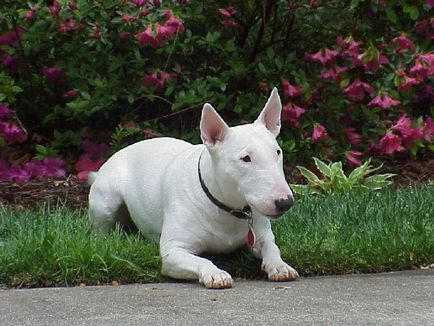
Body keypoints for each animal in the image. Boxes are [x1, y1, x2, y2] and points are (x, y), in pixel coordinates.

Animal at [88, 88, 298, 290]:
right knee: (101, 230)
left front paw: (280, 266)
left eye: (277, 152)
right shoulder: (173, 251)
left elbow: (272, 247)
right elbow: (200, 260)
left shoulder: (262, 234)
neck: (226, 207)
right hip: (107, 200)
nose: (285, 202)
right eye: (245, 158)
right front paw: (216, 274)